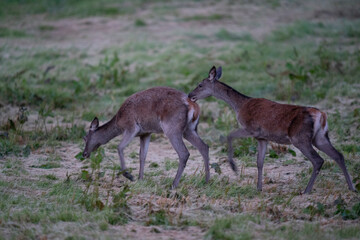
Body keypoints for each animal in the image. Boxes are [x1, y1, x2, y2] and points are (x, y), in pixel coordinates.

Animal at [82, 86, 210, 189]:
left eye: (85, 137)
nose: (84, 154)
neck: (119, 123)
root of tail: (193, 106)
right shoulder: (145, 133)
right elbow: (142, 155)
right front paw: (140, 179)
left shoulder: (131, 127)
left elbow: (119, 147)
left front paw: (130, 176)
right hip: (189, 129)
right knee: (204, 146)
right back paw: (206, 181)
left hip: (172, 128)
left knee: (184, 152)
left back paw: (173, 185)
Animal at [188, 65, 354, 193]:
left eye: (200, 84)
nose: (190, 95)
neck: (239, 106)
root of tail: (321, 115)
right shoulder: (262, 137)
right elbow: (260, 162)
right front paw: (258, 187)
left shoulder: (252, 128)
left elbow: (230, 135)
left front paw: (234, 167)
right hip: (320, 137)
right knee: (338, 155)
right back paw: (351, 187)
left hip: (300, 137)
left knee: (318, 160)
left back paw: (306, 190)